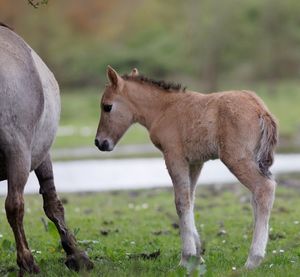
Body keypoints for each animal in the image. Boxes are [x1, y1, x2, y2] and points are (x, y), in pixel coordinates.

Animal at [0, 23, 93, 274]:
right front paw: (76, 254)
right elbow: (53, 204)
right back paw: (27, 260)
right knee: (15, 205)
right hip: (18, 152)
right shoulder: (42, 156)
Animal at [95, 66, 278, 268]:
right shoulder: (195, 162)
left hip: (236, 158)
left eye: (107, 106)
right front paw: (198, 255)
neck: (164, 109)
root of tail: (260, 109)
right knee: (257, 196)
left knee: (265, 188)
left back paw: (253, 260)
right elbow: (190, 199)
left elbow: (181, 202)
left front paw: (186, 257)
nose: (100, 142)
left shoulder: (174, 157)